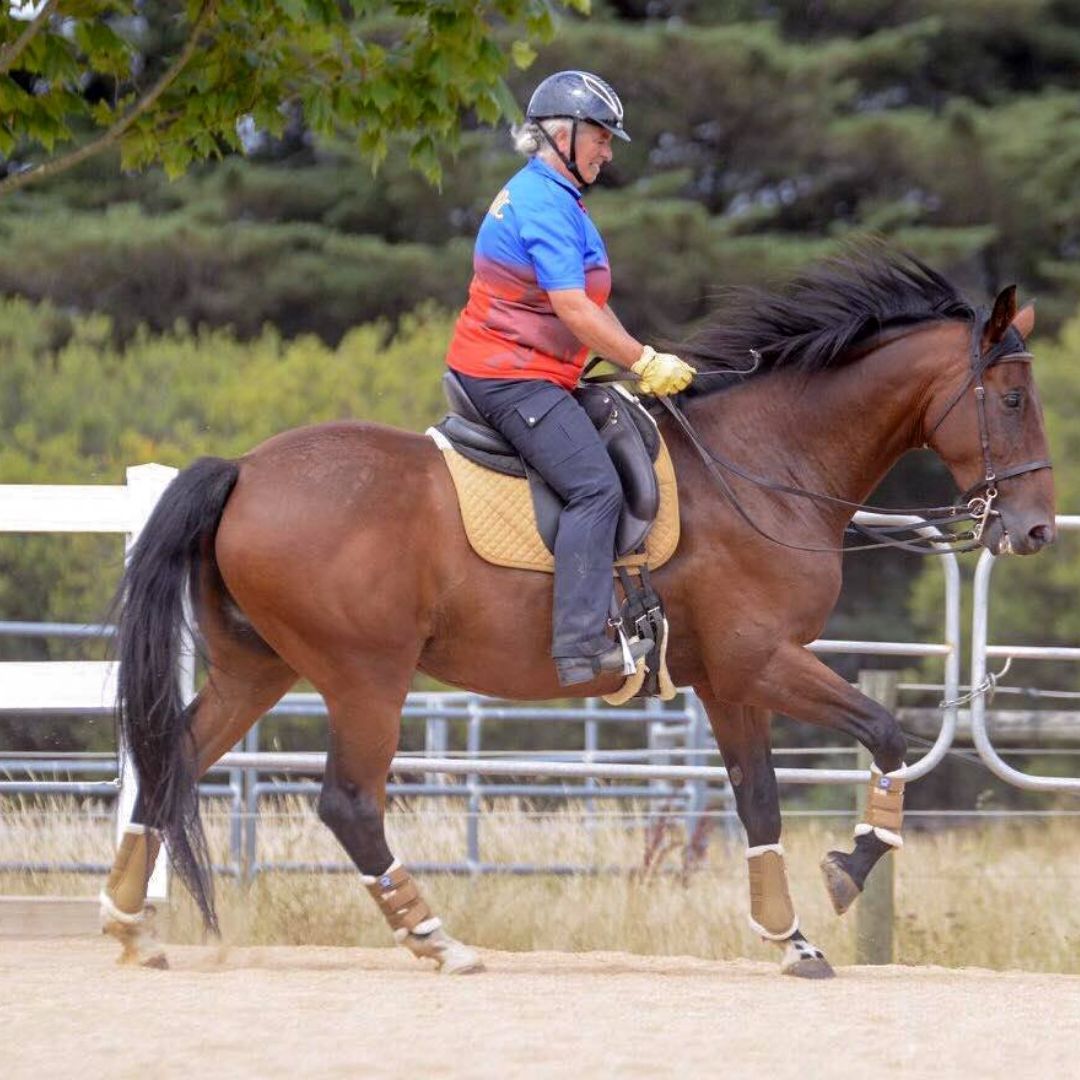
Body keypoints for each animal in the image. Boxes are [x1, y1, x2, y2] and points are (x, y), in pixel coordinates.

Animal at [103, 250, 1054, 980]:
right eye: (1012, 401)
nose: (1038, 529)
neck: (762, 466)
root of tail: (244, 471)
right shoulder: (765, 660)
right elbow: (886, 733)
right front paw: (851, 866)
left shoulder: (731, 682)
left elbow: (759, 804)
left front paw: (791, 940)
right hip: (365, 677)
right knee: (348, 803)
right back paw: (436, 939)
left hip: (258, 669)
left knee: (168, 763)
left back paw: (127, 926)